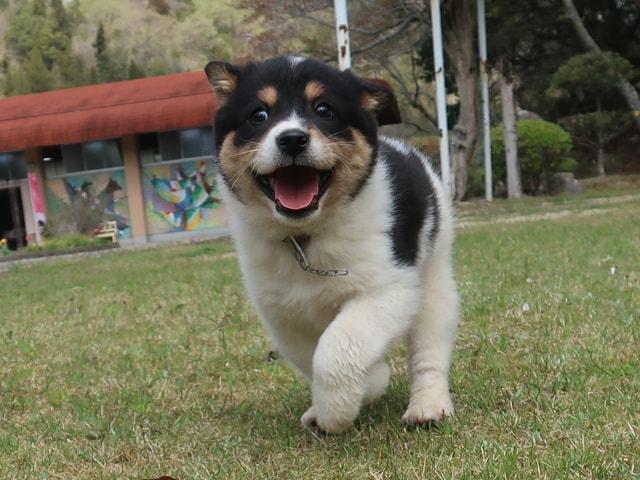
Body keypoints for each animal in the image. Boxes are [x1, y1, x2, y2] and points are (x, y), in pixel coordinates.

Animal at [205, 56, 460, 436]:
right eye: (259, 114)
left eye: (324, 109)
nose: (292, 139)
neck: (307, 236)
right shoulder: (283, 312)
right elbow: (310, 356)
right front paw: (365, 385)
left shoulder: (388, 290)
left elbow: (336, 348)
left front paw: (335, 413)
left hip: (434, 273)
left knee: (430, 347)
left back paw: (428, 406)